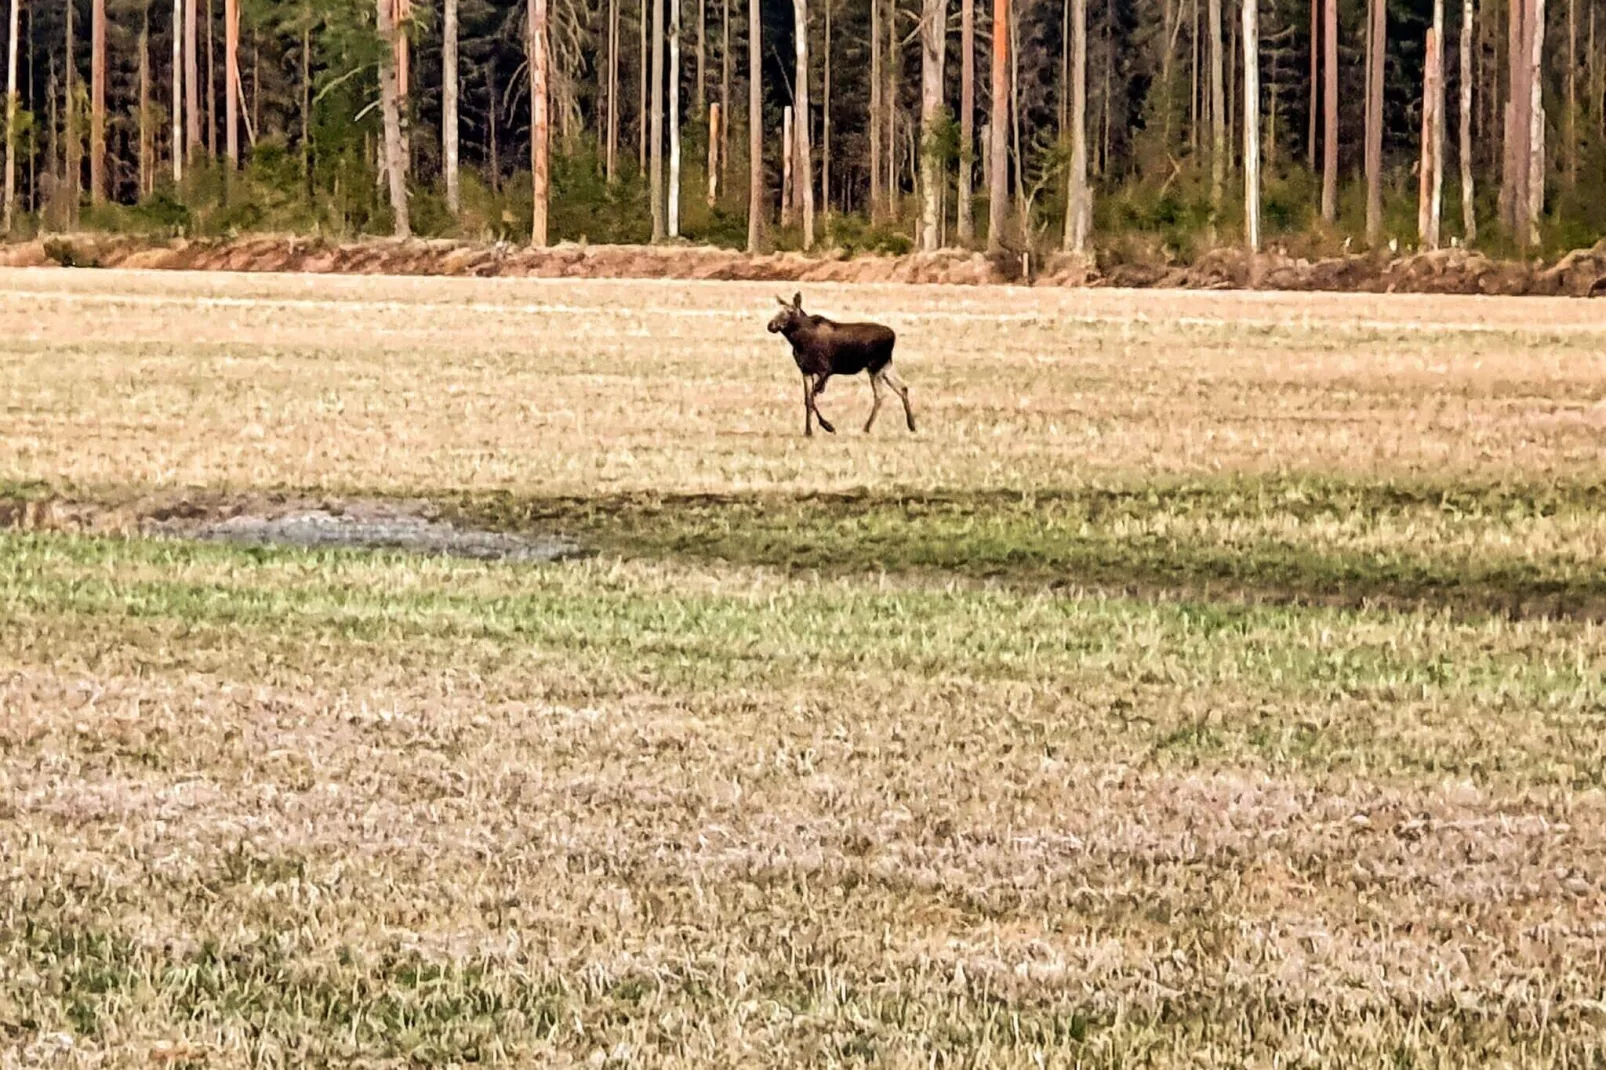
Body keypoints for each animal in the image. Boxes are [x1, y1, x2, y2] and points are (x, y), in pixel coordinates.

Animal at [764, 289, 918, 436]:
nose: (771, 325)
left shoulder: (825, 370)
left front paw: (828, 426)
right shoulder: (805, 371)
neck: (798, 341)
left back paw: (866, 428)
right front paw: (808, 431)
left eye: (790, 312)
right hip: (886, 366)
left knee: (880, 395)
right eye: (777, 310)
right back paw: (912, 425)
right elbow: (807, 400)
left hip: (875, 367)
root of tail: (893, 336)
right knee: (902, 388)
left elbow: (812, 397)